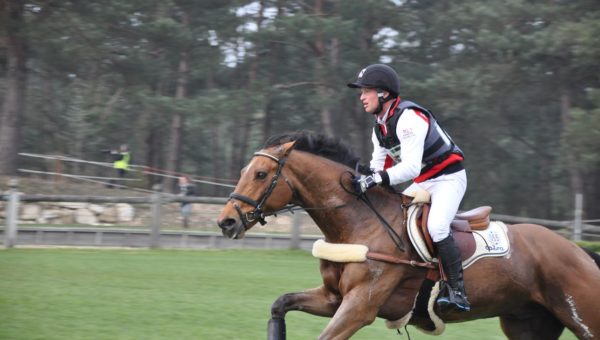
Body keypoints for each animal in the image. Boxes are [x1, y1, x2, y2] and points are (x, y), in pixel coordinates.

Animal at [216, 131, 600, 338]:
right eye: (244, 170)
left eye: (261, 174)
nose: (226, 222)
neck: (358, 225)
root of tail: (579, 251)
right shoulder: (333, 299)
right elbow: (280, 305)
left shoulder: (359, 307)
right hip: (527, 324)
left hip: (583, 316)